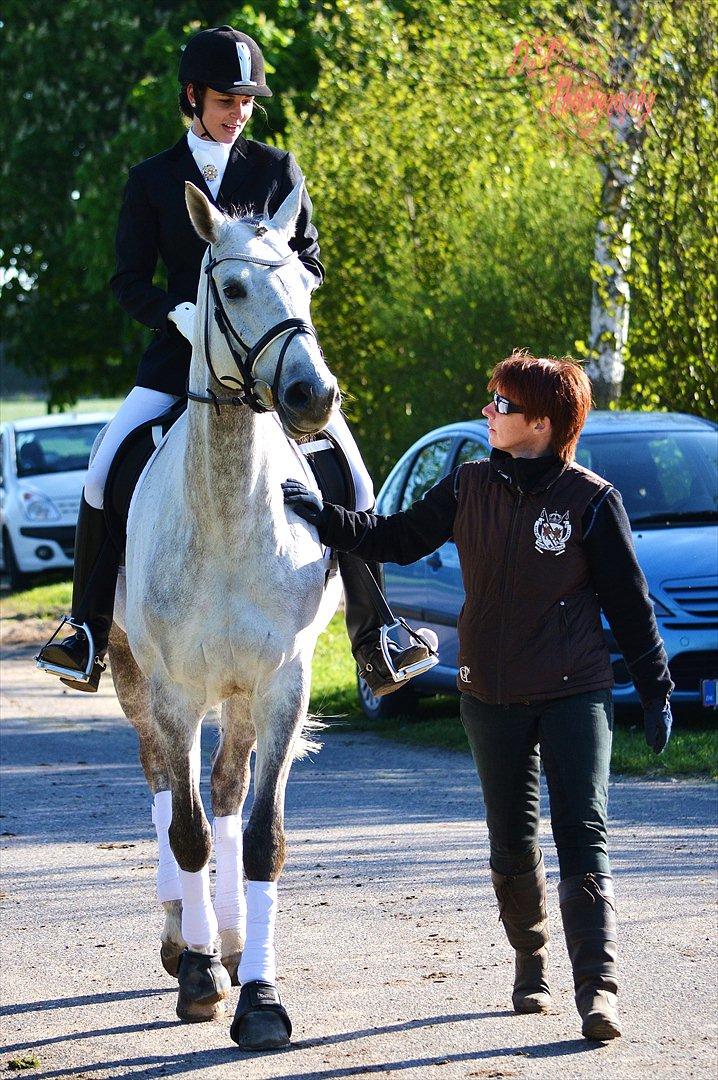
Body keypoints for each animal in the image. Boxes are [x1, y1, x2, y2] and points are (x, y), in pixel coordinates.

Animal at [108, 181, 341, 1049]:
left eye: (308, 281)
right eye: (233, 288)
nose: (313, 396)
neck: (231, 511)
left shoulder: (281, 684)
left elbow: (262, 836)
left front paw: (261, 997)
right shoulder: (174, 692)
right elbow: (186, 828)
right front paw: (201, 977)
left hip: (240, 696)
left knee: (230, 790)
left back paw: (237, 939)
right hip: (131, 675)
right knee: (164, 785)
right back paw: (185, 937)